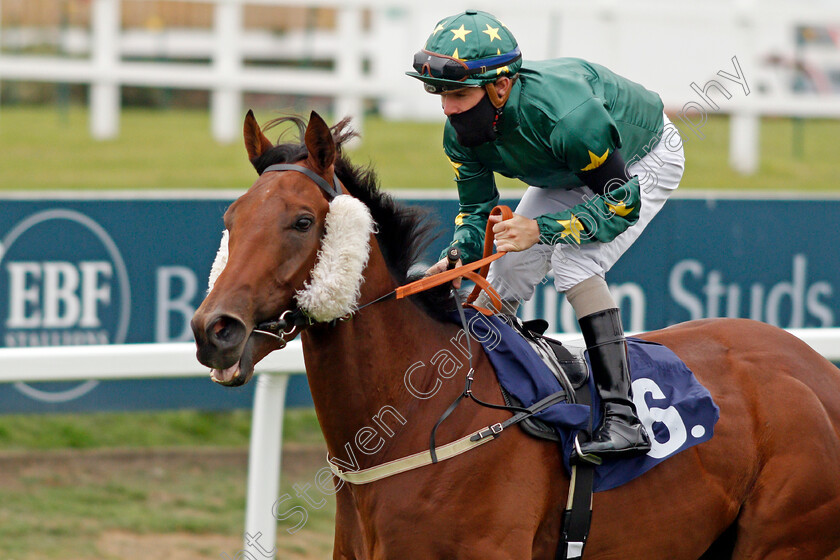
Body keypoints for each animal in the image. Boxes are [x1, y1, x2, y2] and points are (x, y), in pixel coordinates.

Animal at [190, 111, 840, 556]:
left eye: (302, 221)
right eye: (229, 218)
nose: (212, 329)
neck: (420, 418)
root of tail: (817, 370)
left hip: (784, 539)